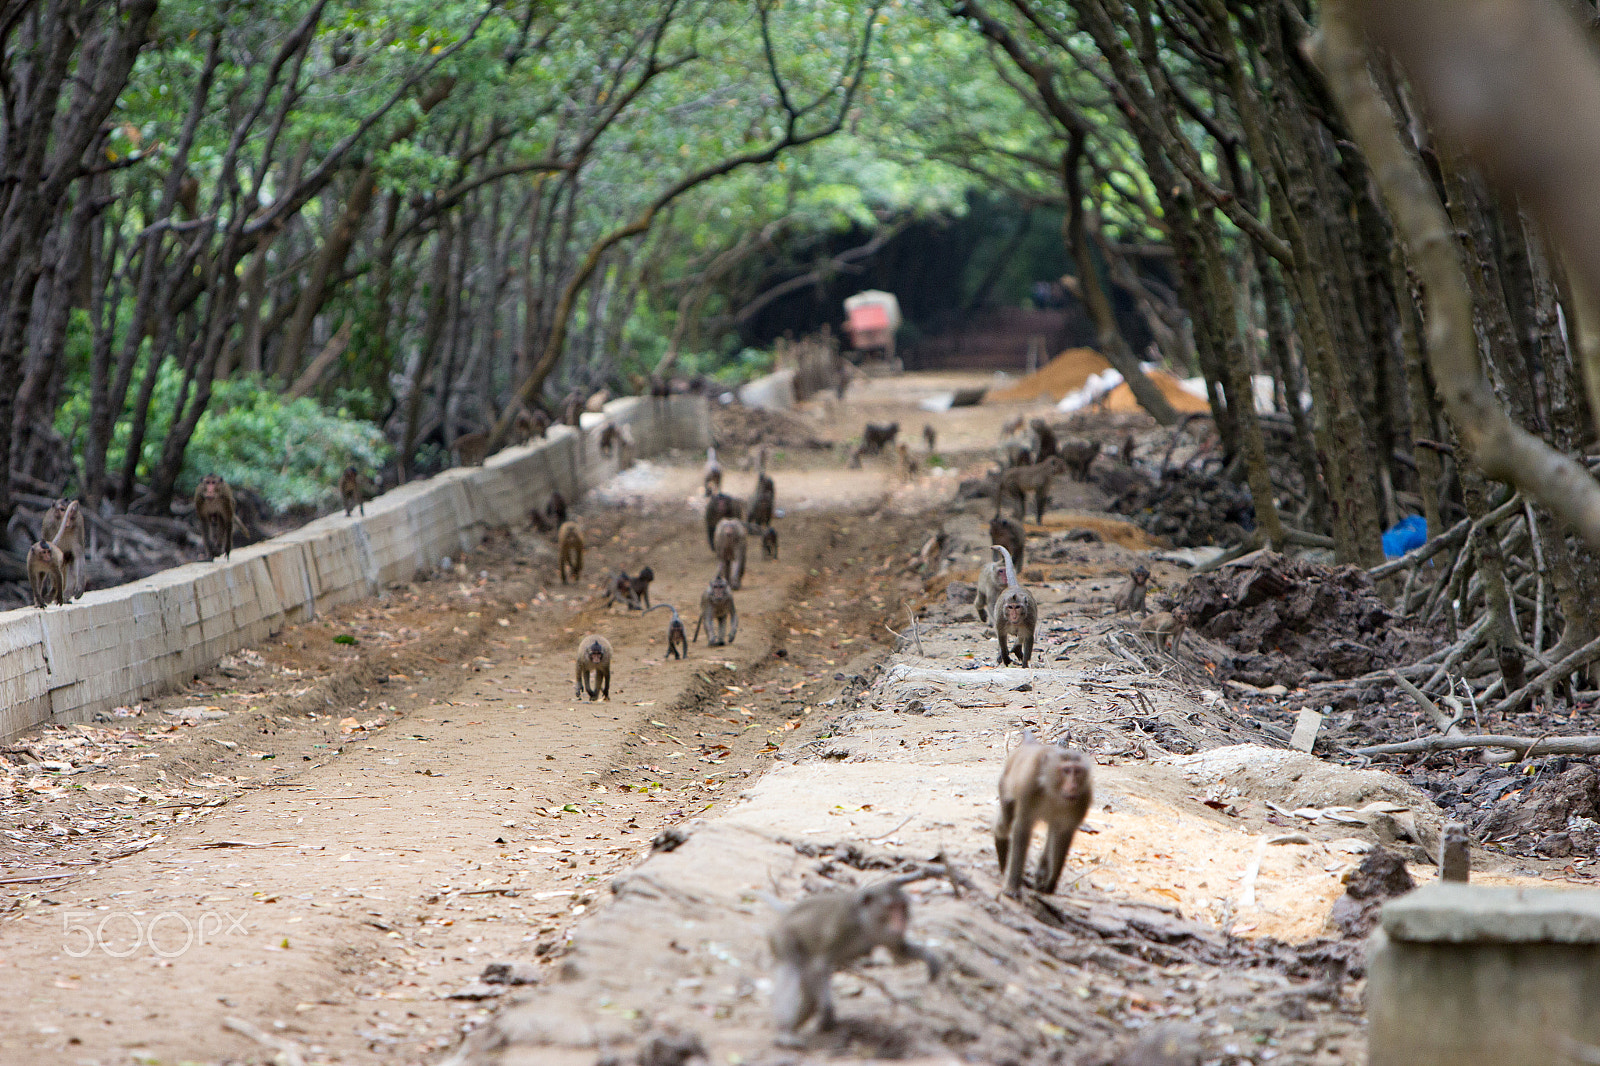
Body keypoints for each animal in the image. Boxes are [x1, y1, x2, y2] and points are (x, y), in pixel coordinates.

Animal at [768, 876, 940, 1044]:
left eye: (902, 907)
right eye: (890, 907)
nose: (901, 922)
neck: (865, 923)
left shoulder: (885, 934)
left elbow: (899, 952)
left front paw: (929, 958)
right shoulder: (842, 925)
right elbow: (819, 966)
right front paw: (828, 1013)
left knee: (809, 996)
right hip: (783, 937)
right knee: (790, 970)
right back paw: (784, 1031)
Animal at [994, 730, 1094, 897]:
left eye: (1077, 771)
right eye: (1066, 770)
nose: (1073, 786)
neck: (1053, 791)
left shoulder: (1083, 797)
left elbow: (1063, 836)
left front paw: (1050, 884)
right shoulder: (1029, 786)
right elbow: (1022, 828)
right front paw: (1013, 886)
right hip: (1004, 785)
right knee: (1004, 824)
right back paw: (1002, 860)